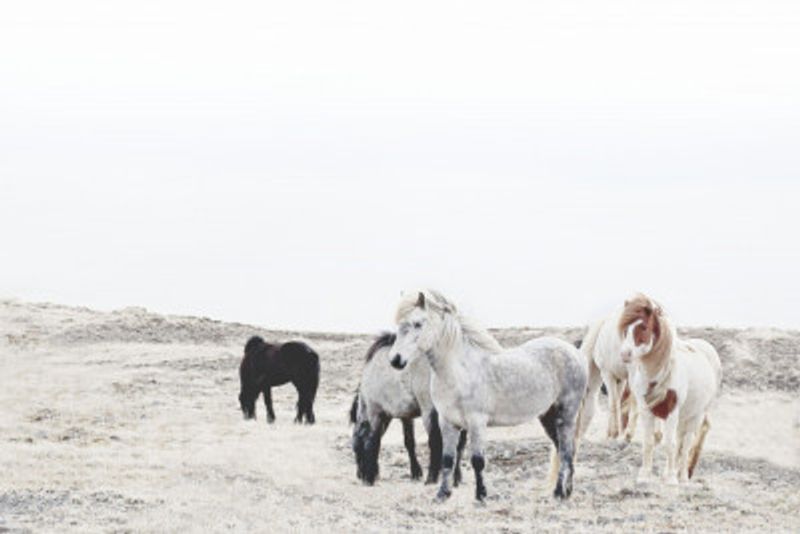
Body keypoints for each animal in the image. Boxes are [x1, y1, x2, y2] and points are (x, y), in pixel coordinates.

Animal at [350, 332, 466, 485]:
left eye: (355, 448)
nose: (359, 475)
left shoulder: (375, 411)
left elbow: (373, 441)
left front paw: (370, 477)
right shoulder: (405, 416)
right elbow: (409, 442)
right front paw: (415, 472)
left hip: (430, 411)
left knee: (436, 441)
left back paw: (432, 478)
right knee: (459, 444)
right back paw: (455, 477)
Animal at [389, 290, 587, 501]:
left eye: (418, 323)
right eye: (398, 325)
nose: (395, 360)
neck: (459, 372)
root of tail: (575, 353)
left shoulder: (477, 422)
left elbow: (477, 460)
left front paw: (481, 495)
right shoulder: (447, 422)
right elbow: (447, 459)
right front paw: (443, 494)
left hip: (566, 415)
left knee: (566, 451)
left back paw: (559, 492)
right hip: (547, 417)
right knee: (564, 449)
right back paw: (568, 491)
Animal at [618, 293, 722, 483]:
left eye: (643, 326)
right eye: (625, 328)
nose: (625, 354)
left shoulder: (671, 410)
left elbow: (670, 444)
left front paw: (672, 479)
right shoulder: (646, 409)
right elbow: (649, 442)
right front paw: (644, 476)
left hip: (696, 415)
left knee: (686, 443)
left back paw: (682, 477)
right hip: (684, 416)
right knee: (681, 441)